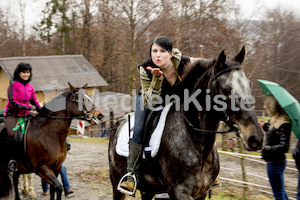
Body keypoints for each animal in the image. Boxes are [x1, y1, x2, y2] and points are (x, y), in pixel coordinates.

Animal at [109, 47, 264, 200]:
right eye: (225, 90)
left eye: (249, 85)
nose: (255, 138)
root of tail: (118, 122)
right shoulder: (179, 192)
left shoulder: (201, 193)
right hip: (117, 183)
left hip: (149, 189)